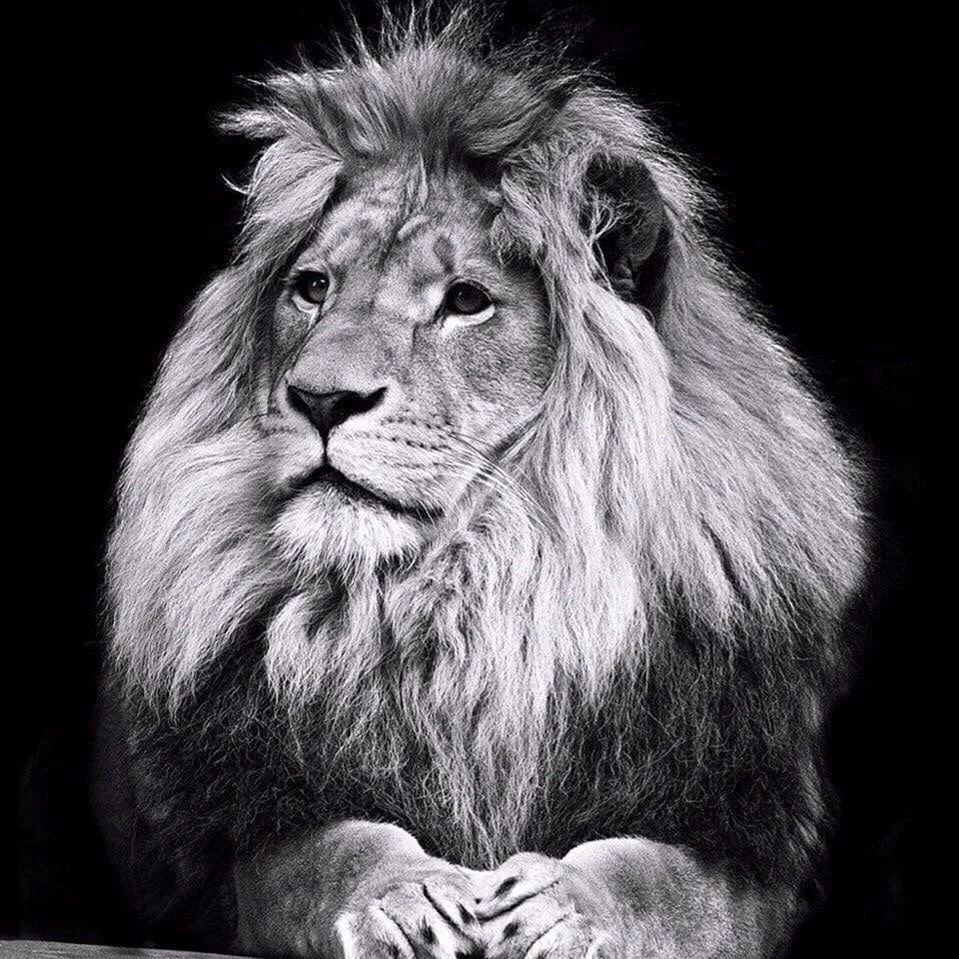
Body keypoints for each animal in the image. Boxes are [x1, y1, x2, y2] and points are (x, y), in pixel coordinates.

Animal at [92, 7, 867, 958]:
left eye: (466, 301)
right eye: (311, 289)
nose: (319, 397)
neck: (478, 592)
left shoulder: (740, 835)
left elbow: (660, 881)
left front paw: (566, 904)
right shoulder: (259, 818)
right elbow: (333, 851)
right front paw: (404, 895)